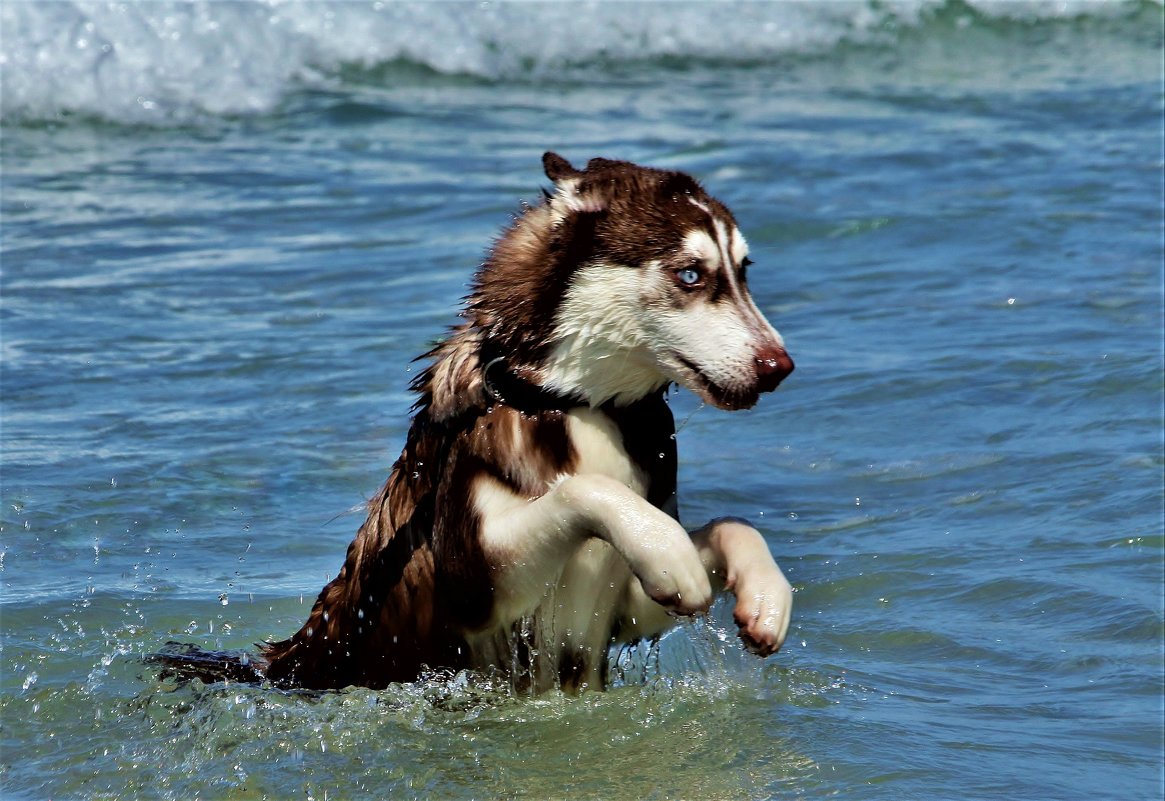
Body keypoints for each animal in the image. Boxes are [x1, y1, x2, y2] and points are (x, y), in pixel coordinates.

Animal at [164, 153, 796, 689]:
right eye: (691, 274)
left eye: (743, 271)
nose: (780, 367)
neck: (574, 404)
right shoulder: (475, 585)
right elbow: (585, 491)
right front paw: (666, 551)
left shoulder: (628, 613)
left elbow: (734, 526)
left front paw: (764, 594)